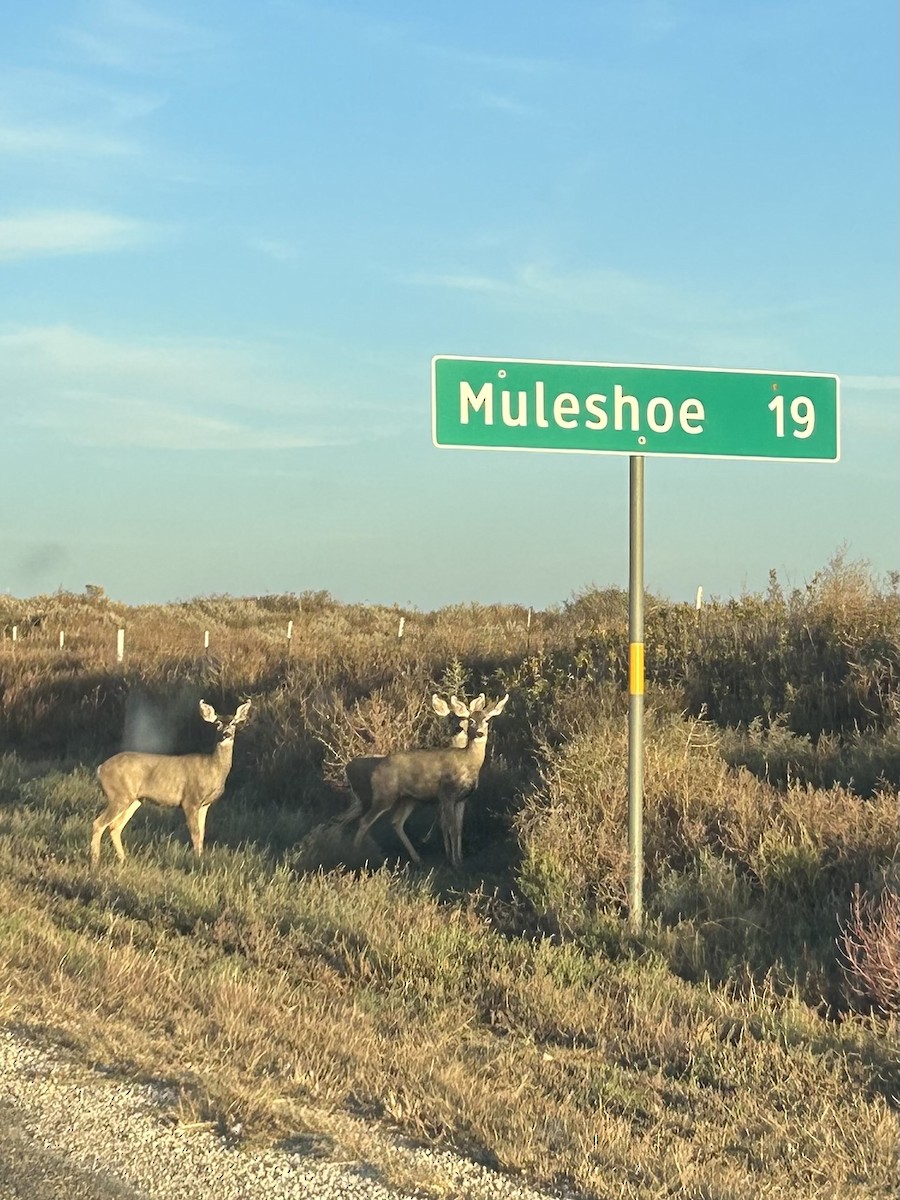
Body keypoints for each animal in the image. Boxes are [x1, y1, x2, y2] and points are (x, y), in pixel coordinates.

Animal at [90, 699, 251, 866]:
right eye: (218, 723)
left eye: (233, 723)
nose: (226, 734)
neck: (212, 769)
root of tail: (100, 769)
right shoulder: (190, 800)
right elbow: (195, 834)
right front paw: (196, 862)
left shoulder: (205, 804)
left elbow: (202, 834)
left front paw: (201, 859)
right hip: (119, 795)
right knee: (98, 823)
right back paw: (95, 861)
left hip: (133, 799)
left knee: (114, 826)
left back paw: (123, 859)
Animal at [347, 692, 508, 867]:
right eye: (471, 720)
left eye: (486, 720)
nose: (479, 733)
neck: (467, 762)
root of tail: (375, 771)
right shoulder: (446, 794)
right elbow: (451, 827)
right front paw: (454, 862)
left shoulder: (462, 799)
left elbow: (459, 828)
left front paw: (459, 858)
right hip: (384, 795)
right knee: (364, 821)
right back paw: (356, 856)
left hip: (408, 799)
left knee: (396, 822)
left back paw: (417, 859)